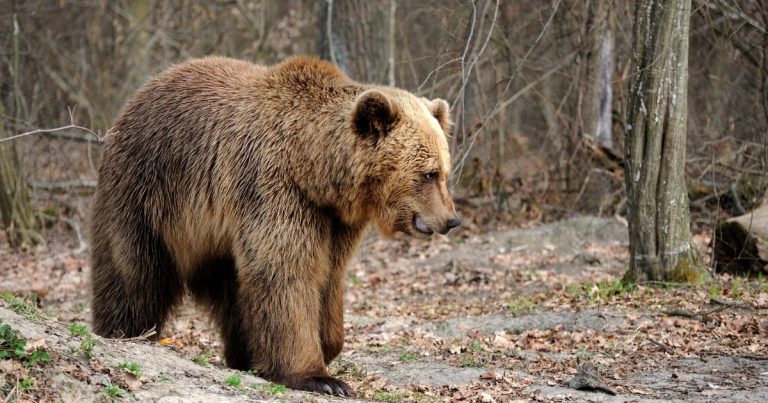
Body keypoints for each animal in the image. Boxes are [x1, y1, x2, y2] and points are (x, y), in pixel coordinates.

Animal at [90, 56, 460, 395]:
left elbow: (328, 275)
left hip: (210, 236)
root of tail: (136, 97)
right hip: (146, 190)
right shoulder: (273, 187)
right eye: (428, 173)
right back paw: (124, 331)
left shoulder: (333, 220)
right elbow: (285, 271)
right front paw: (320, 377)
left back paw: (245, 355)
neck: (313, 168)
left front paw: (327, 344)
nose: (451, 220)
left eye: (444, 171)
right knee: (134, 272)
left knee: (232, 290)